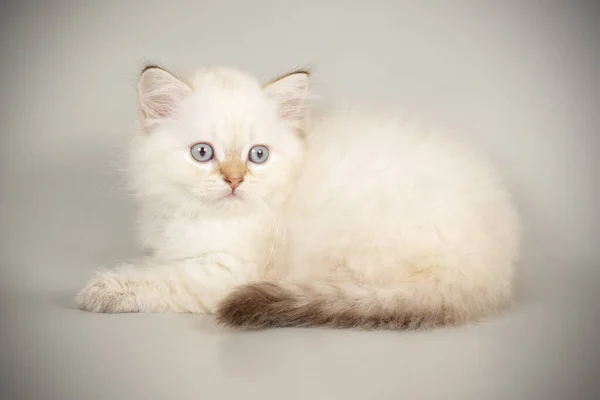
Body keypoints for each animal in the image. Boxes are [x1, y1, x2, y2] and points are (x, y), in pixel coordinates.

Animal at [77, 64, 520, 330]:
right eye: (203, 153)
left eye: (258, 155)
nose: (234, 180)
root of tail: (489, 269)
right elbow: (158, 265)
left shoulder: (225, 271)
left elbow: (160, 279)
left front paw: (104, 290)